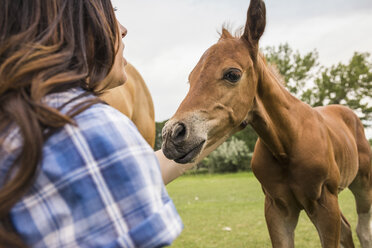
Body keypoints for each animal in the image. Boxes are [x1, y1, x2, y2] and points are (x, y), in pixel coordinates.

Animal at [162, 0, 372, 247]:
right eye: (191, 78)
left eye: (232, 74)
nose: (171, 135)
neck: (287, 145)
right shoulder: (277, 209)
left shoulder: (325, 204)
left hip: (362, 185)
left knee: (362, 230)